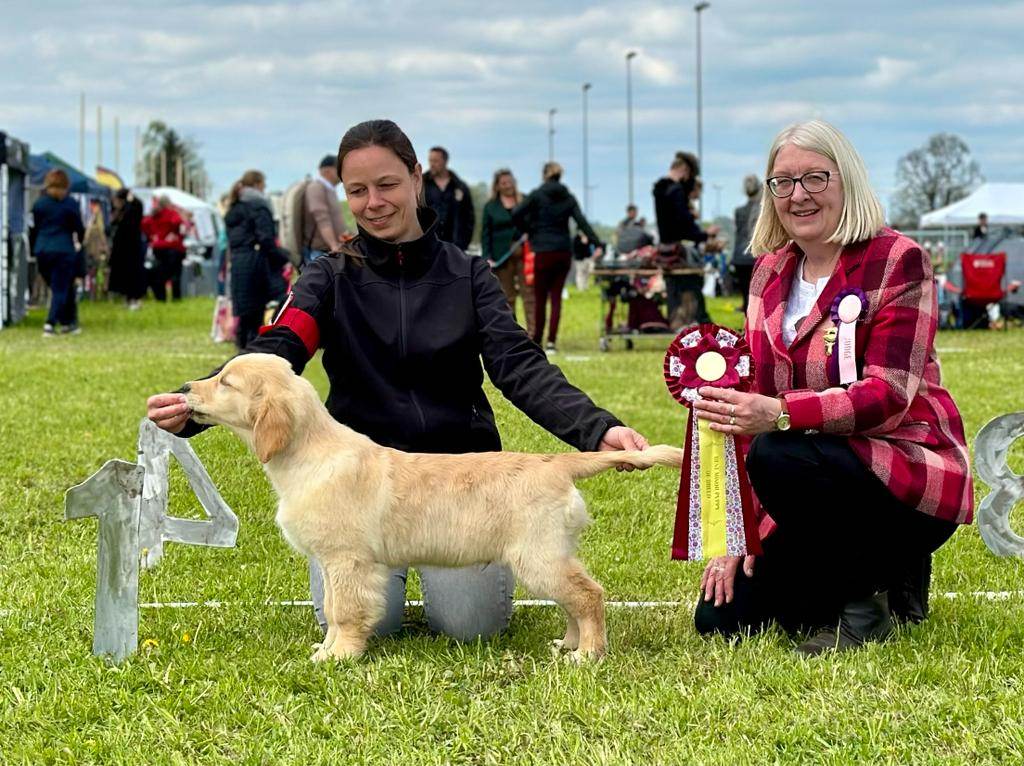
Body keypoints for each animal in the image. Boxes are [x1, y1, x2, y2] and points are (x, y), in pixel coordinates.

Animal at [184, 353, 682, 662]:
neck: (310, 453)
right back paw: (567, 644)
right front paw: (327, 649)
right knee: (573, 600)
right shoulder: (331, 562)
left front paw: (339, 655)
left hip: (537, 555)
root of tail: (556, 461)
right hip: (548, 555)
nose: (186, 386)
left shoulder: (348, 560)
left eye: (226, 382)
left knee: (589, 595)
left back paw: (588, 653)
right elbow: (329, 606)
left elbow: (344, 610)